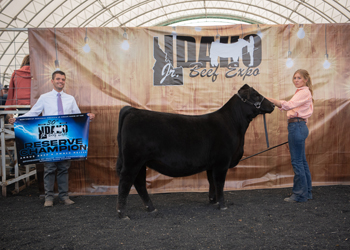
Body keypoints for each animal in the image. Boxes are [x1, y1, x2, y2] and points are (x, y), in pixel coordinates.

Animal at [116, 84, 274, 219]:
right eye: (256, 95)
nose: (272, 105)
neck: (234, 125)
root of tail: (132, 110)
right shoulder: (222, 162)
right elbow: (219, 183)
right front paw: (222, 205)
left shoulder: (212, 164)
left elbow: (212, 182)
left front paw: (213, 201)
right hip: (133, 161)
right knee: (125, 182)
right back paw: (122, 214)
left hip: (141, 162)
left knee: (140, 183)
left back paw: (151, 208)